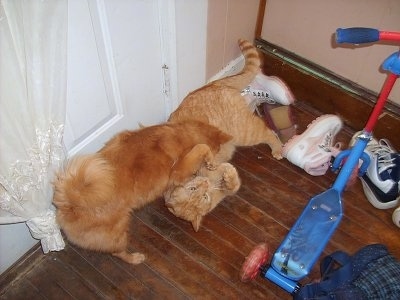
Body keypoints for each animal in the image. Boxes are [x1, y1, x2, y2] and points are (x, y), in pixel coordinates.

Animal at [52, 120, 231, 264]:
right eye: (217, 150)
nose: (215, 163)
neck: (182, 134)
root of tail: (70, 205)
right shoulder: (179, 169)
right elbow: (201, 148)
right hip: (119, 232)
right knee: (118, 252)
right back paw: (135, 258)